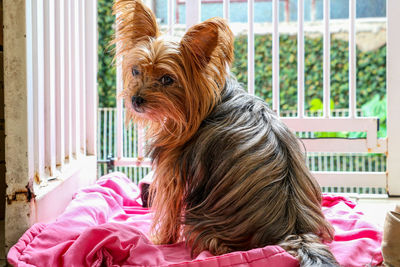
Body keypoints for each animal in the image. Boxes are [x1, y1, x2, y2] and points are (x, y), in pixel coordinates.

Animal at [112, 1, 338, 266]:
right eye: (136, 71)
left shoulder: (172, 167)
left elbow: (168, 208)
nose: (135, 100)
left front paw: (160, 240)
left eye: (167, 79)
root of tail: (295, 230)